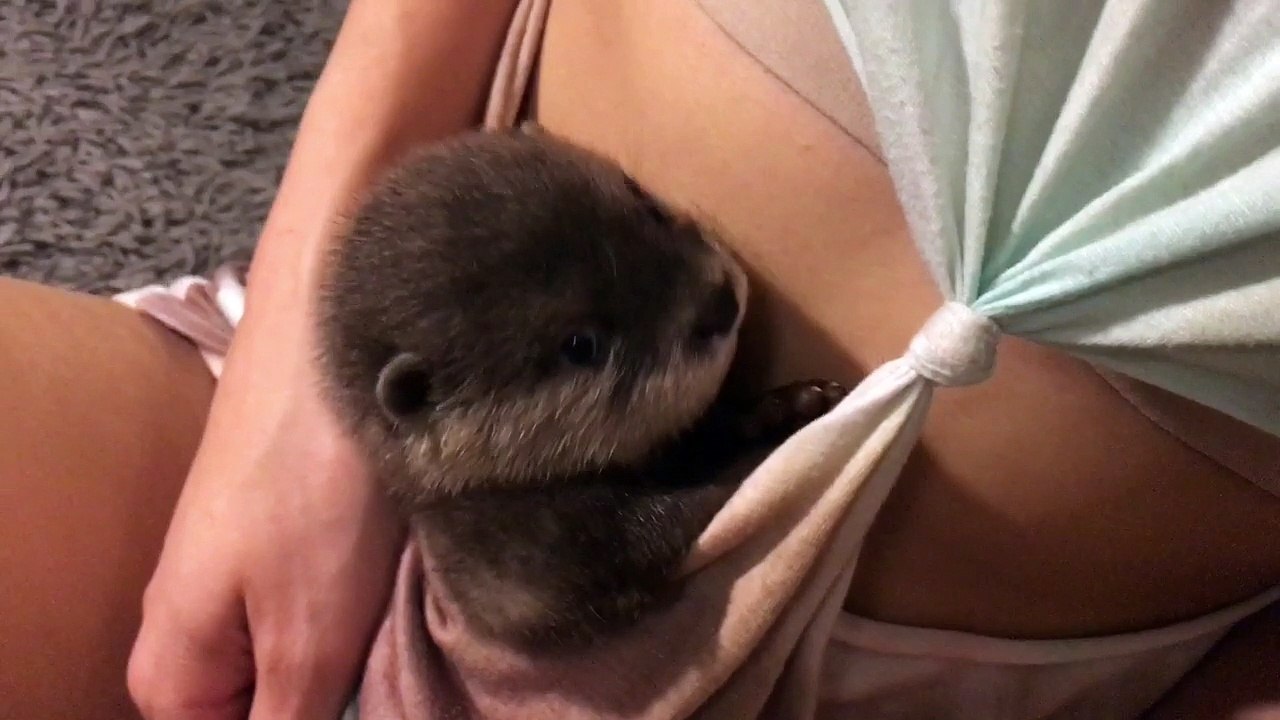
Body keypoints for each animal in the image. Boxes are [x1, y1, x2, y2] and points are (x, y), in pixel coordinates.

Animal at [317, 127, 847, 652]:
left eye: (647, 209)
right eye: (581, 345)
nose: (720, 303)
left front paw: (787, 406)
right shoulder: (518, 563)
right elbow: (650, 535)